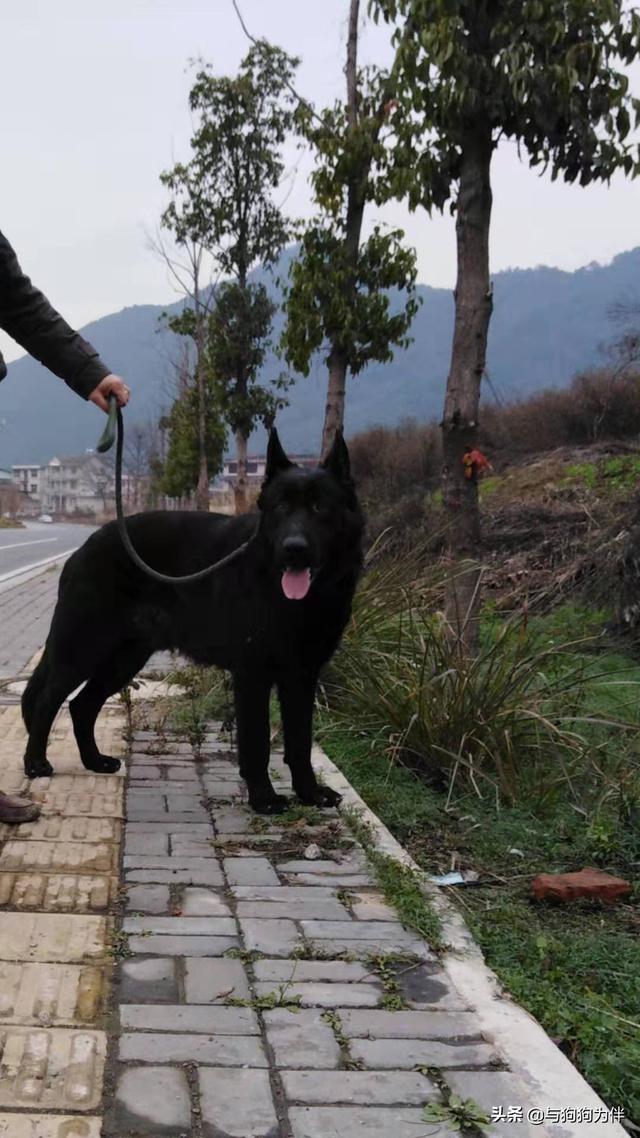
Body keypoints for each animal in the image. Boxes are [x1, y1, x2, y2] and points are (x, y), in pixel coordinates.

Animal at [22, 427, 362, 810]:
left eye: (320, 507)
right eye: (281, 507)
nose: (293, 549)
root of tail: (84, 548)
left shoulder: (302, 678)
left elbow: (300, 742)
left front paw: (309, 792)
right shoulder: (253, 676)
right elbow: (257, 741)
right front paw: (263, 797)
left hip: (124, 660)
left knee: (81, 705)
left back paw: (94, 761)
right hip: (84, 650)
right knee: (47, 699)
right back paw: (36, 762)